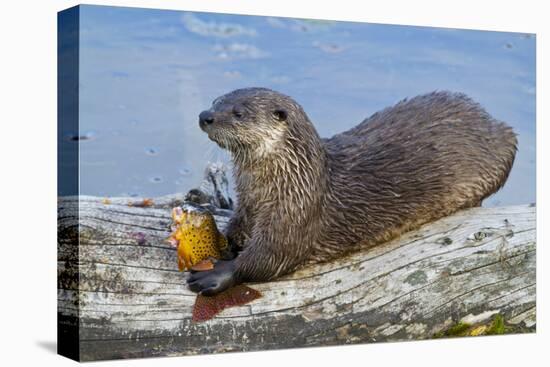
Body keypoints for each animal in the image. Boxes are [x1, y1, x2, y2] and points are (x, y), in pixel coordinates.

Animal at [188, 87, 520, 296]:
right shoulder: (247, 203)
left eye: (239, 113)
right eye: (216, 100)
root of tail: (493, 121)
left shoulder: (297, 213)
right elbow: (237, 229)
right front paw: (219, 242)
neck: (288, 179)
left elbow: (270, 257)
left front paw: (217, 274)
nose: (204, 115)